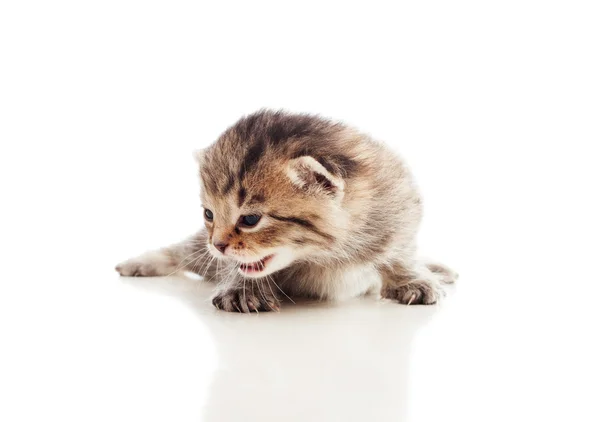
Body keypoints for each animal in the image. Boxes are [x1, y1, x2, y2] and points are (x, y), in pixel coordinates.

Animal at [116, 110, 454, 312]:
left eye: (250, 219)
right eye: (209, 215)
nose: (218, 245)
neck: (324, 256)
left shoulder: (400, 209)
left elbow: (399, 252)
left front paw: (412, 279)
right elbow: (239, 267)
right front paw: (243, 289)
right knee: (183, 252)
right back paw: (139, 263)